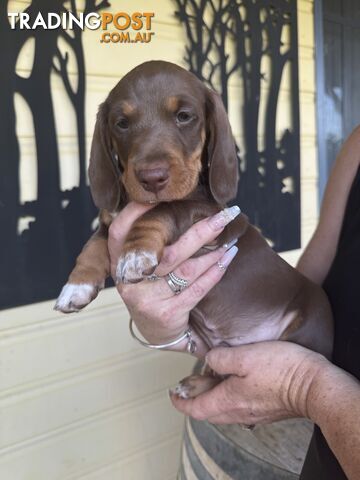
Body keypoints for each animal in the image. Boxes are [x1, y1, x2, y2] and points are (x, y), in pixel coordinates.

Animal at [54, 60, 334, 398]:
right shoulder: (111, 221)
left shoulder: (209, 217)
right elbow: (92, 245)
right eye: (121, 123)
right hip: (220, 347)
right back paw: (197, 384)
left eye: (184, 116)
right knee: (221, 371)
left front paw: (135, 254)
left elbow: (164, 209)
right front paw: (76, 286)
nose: (152, 177)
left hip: (306, 326)